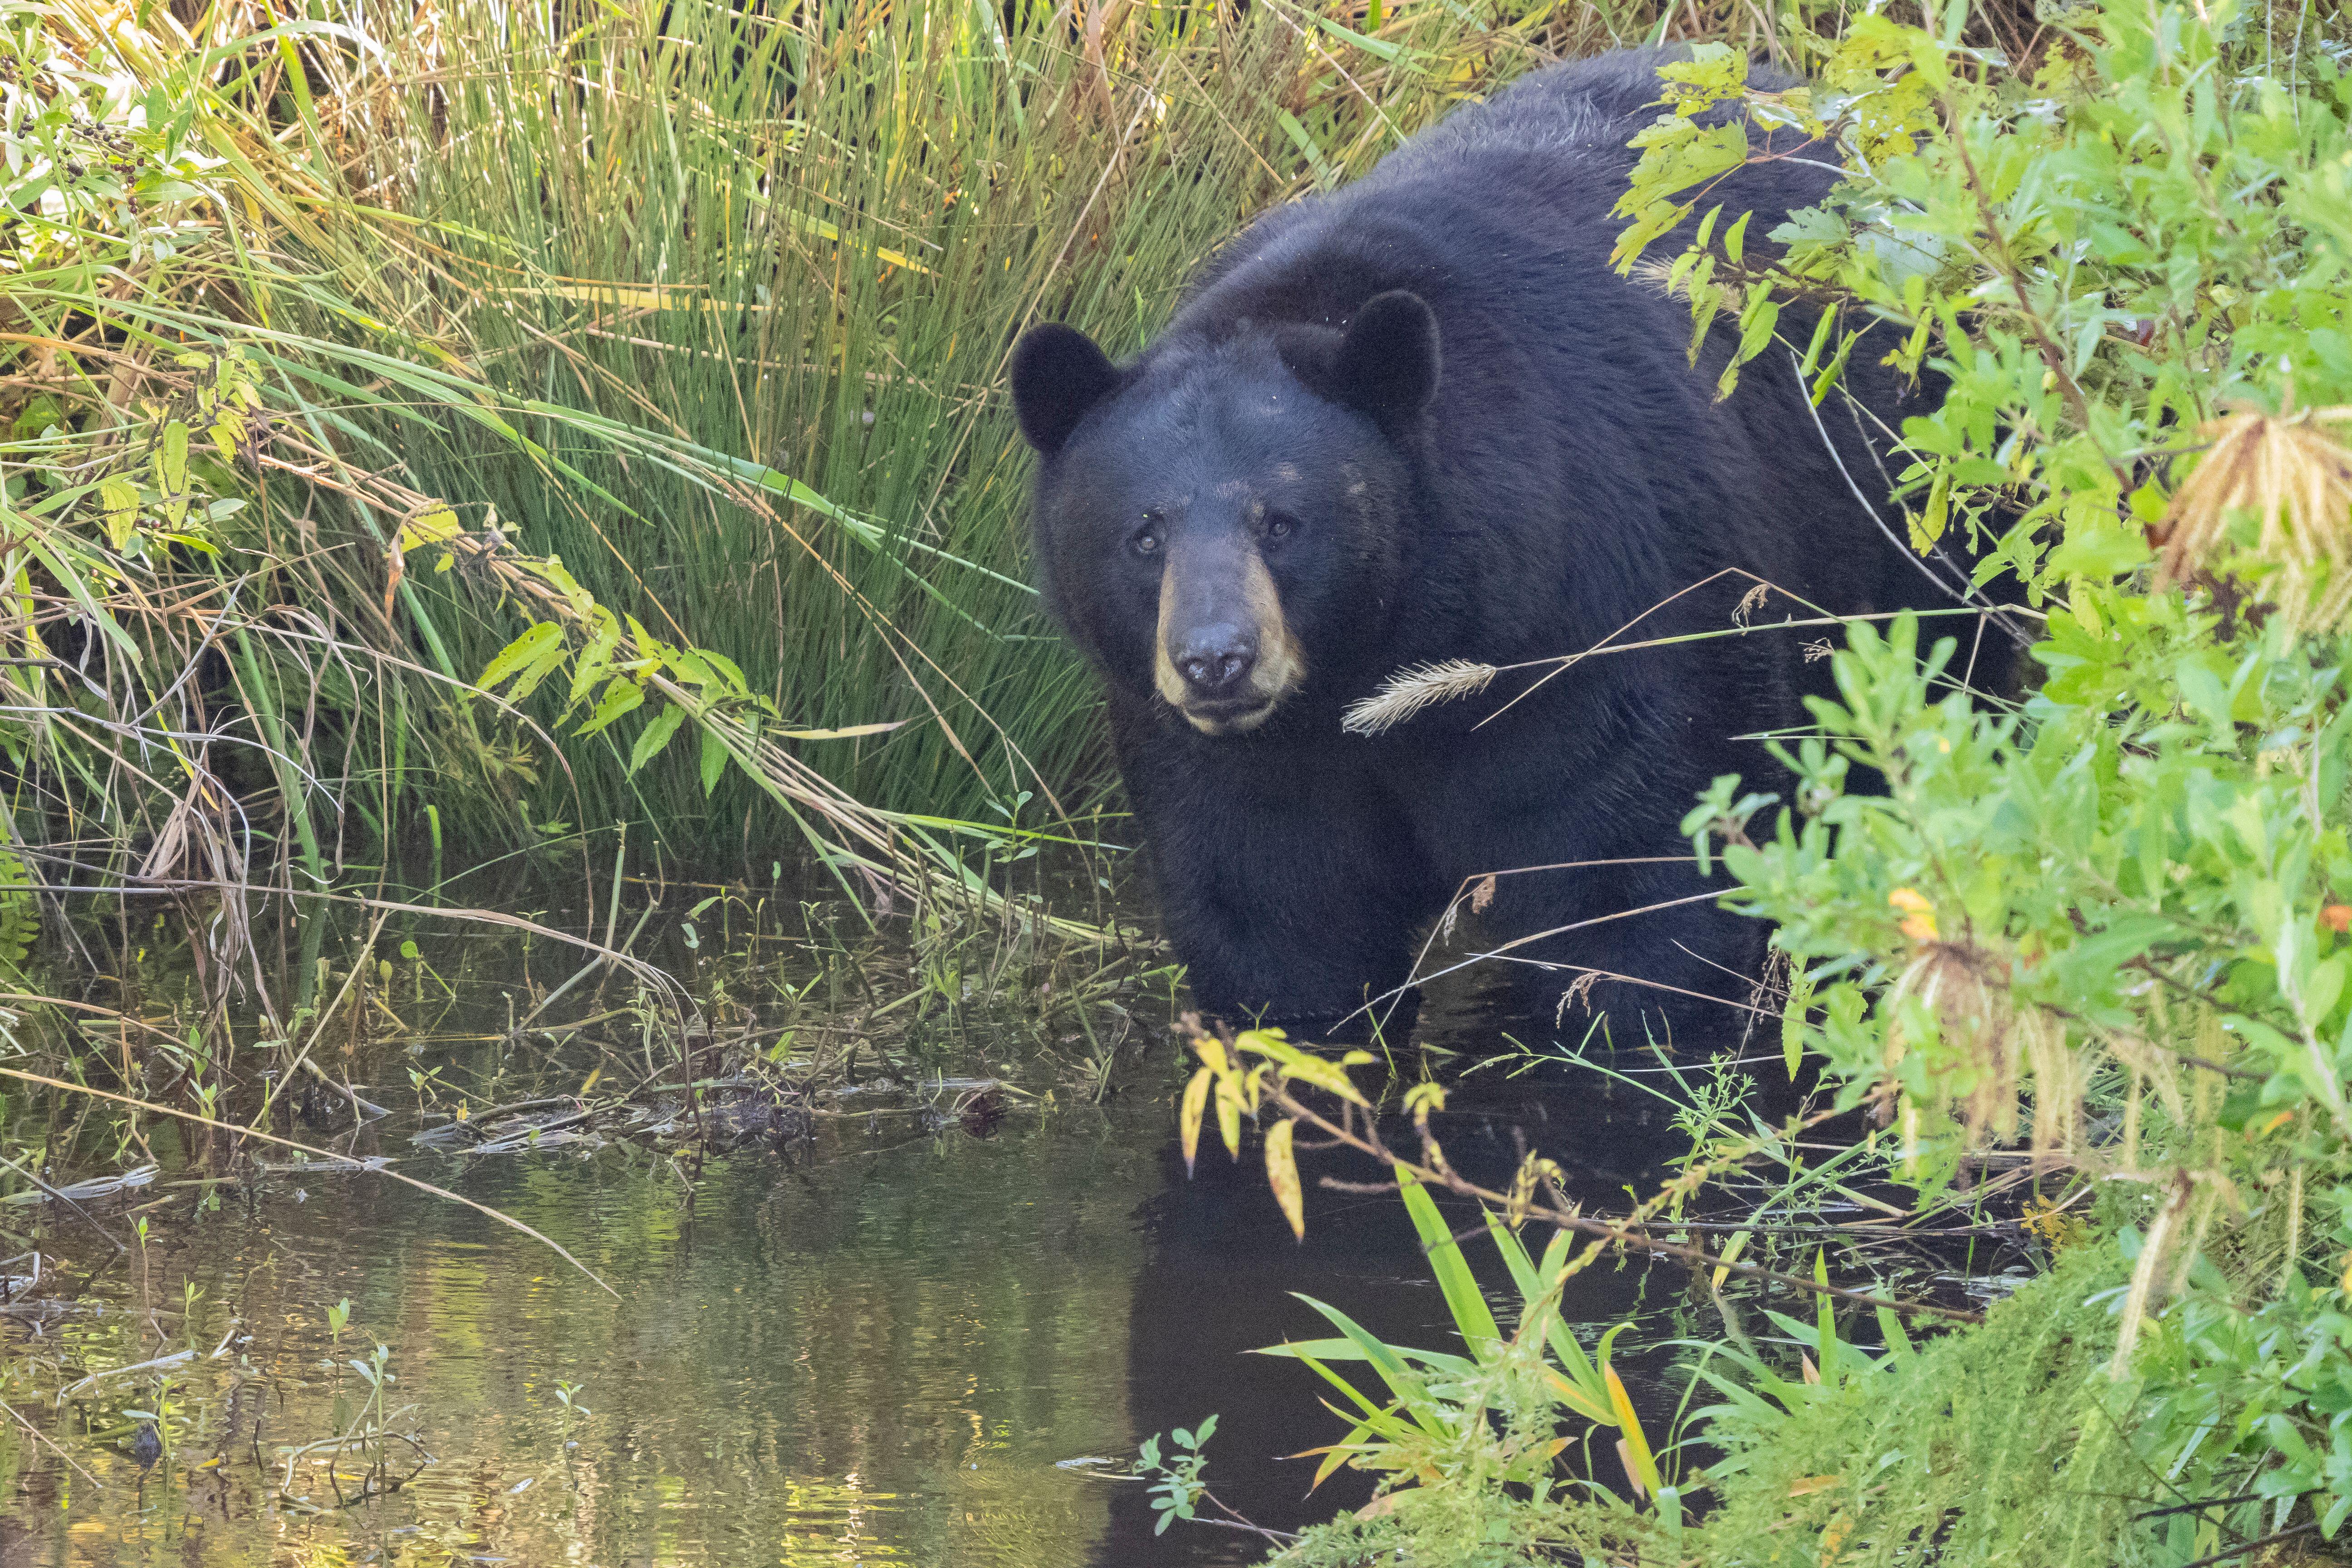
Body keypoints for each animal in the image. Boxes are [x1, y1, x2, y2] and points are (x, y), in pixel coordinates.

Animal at [1011, 49, 2004, 1048]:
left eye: (1281, 522)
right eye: (1144, 534)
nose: (1216, 660)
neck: (1384, 660)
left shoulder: (1595, 627)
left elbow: (1637, 887)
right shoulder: (1233, 758)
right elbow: (1276, 926)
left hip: (1922, 499)